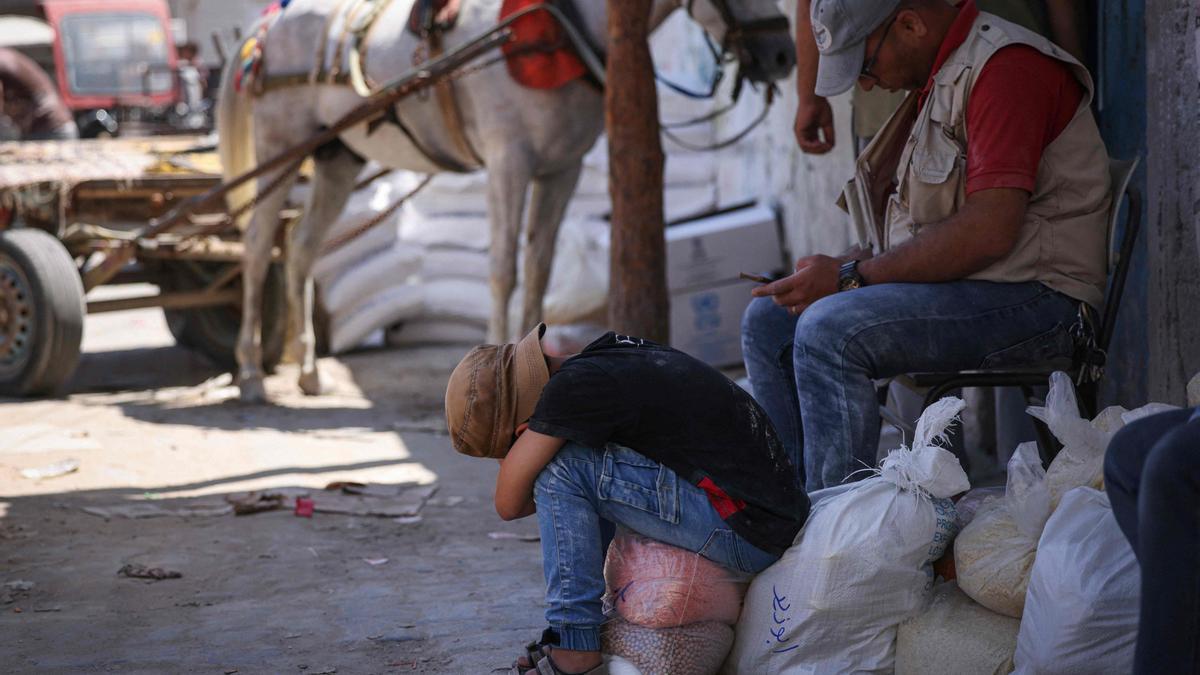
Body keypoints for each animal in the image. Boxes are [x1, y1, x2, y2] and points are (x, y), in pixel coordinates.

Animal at [219, 0, 792, 398]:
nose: (783, 53)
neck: (553, 30)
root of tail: (264, 28)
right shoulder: (507, 162)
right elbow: (502, 270)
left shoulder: (560, 170)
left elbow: (538, 267)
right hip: (280, 149)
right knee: (257, 245)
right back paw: (248, 370)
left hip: (337, 157)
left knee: (300, 248)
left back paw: (308, 371)